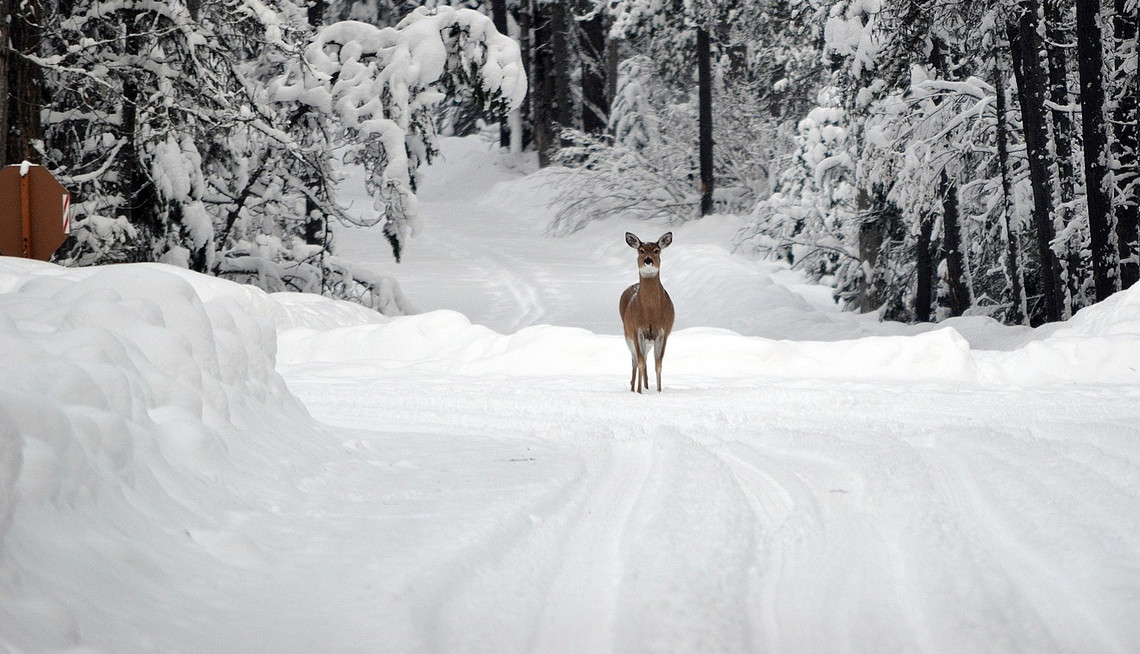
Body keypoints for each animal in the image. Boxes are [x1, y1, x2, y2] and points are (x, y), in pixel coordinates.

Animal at [620, 232, 670, 394]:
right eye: (641, 250)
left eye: (656, 250)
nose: (648, 260)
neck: (650, 312)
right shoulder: (637, 330)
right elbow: (640, 362)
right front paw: (640, 392)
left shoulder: (664, 331)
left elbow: (658, 364)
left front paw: (659, 391)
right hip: (628, 334)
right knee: (636, 361)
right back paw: (634, 388)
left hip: (648, 341)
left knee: (645, 360)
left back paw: (646, 386)